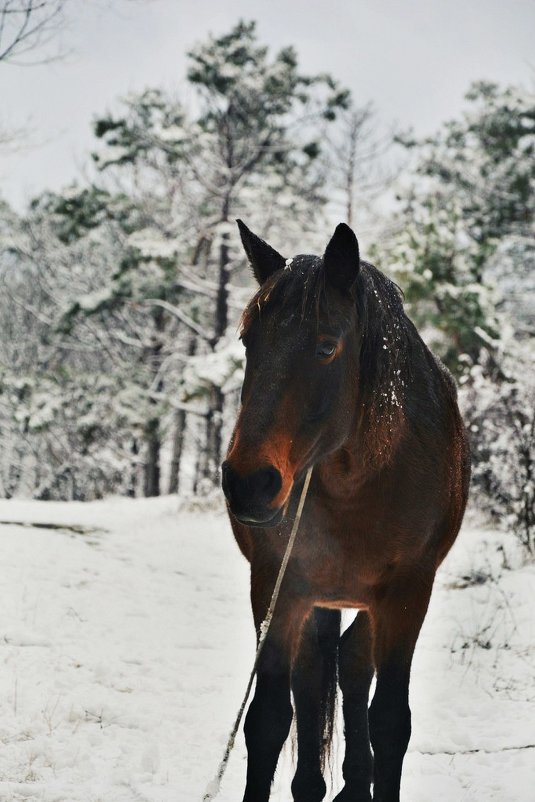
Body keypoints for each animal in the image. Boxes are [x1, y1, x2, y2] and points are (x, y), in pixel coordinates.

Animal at [220, 220, 472, 800]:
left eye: (327, 347)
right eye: (247, 341)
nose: (248, 484)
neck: (357, 480)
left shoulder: (406, 594)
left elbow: (390, 721)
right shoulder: (278, 584)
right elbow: (268, 718)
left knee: (355, 668)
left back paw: (356, 783)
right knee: (316, 671)